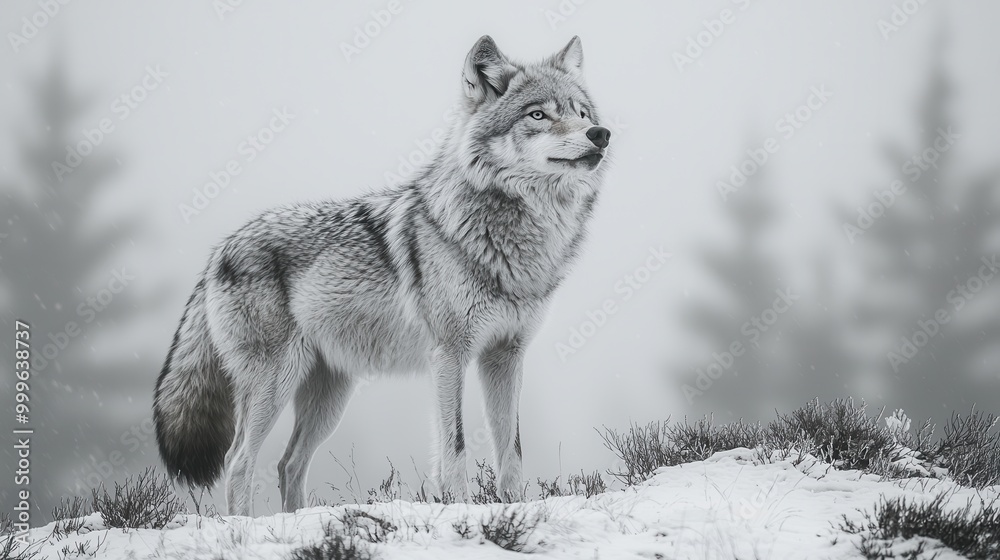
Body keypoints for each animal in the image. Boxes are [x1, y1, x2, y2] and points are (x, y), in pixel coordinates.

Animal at [154, 35, 611, 516]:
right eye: (538, 115)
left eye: (582, 113)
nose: (600, 134)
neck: (515, 237)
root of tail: (219, 249)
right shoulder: (449, 355)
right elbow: (456, 447)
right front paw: (463, 509)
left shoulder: (506, 355)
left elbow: (513, 451)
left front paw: (514, 509)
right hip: (274, 384)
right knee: (239, 461)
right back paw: (245, 525)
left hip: (329, 397)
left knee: (288, 463)